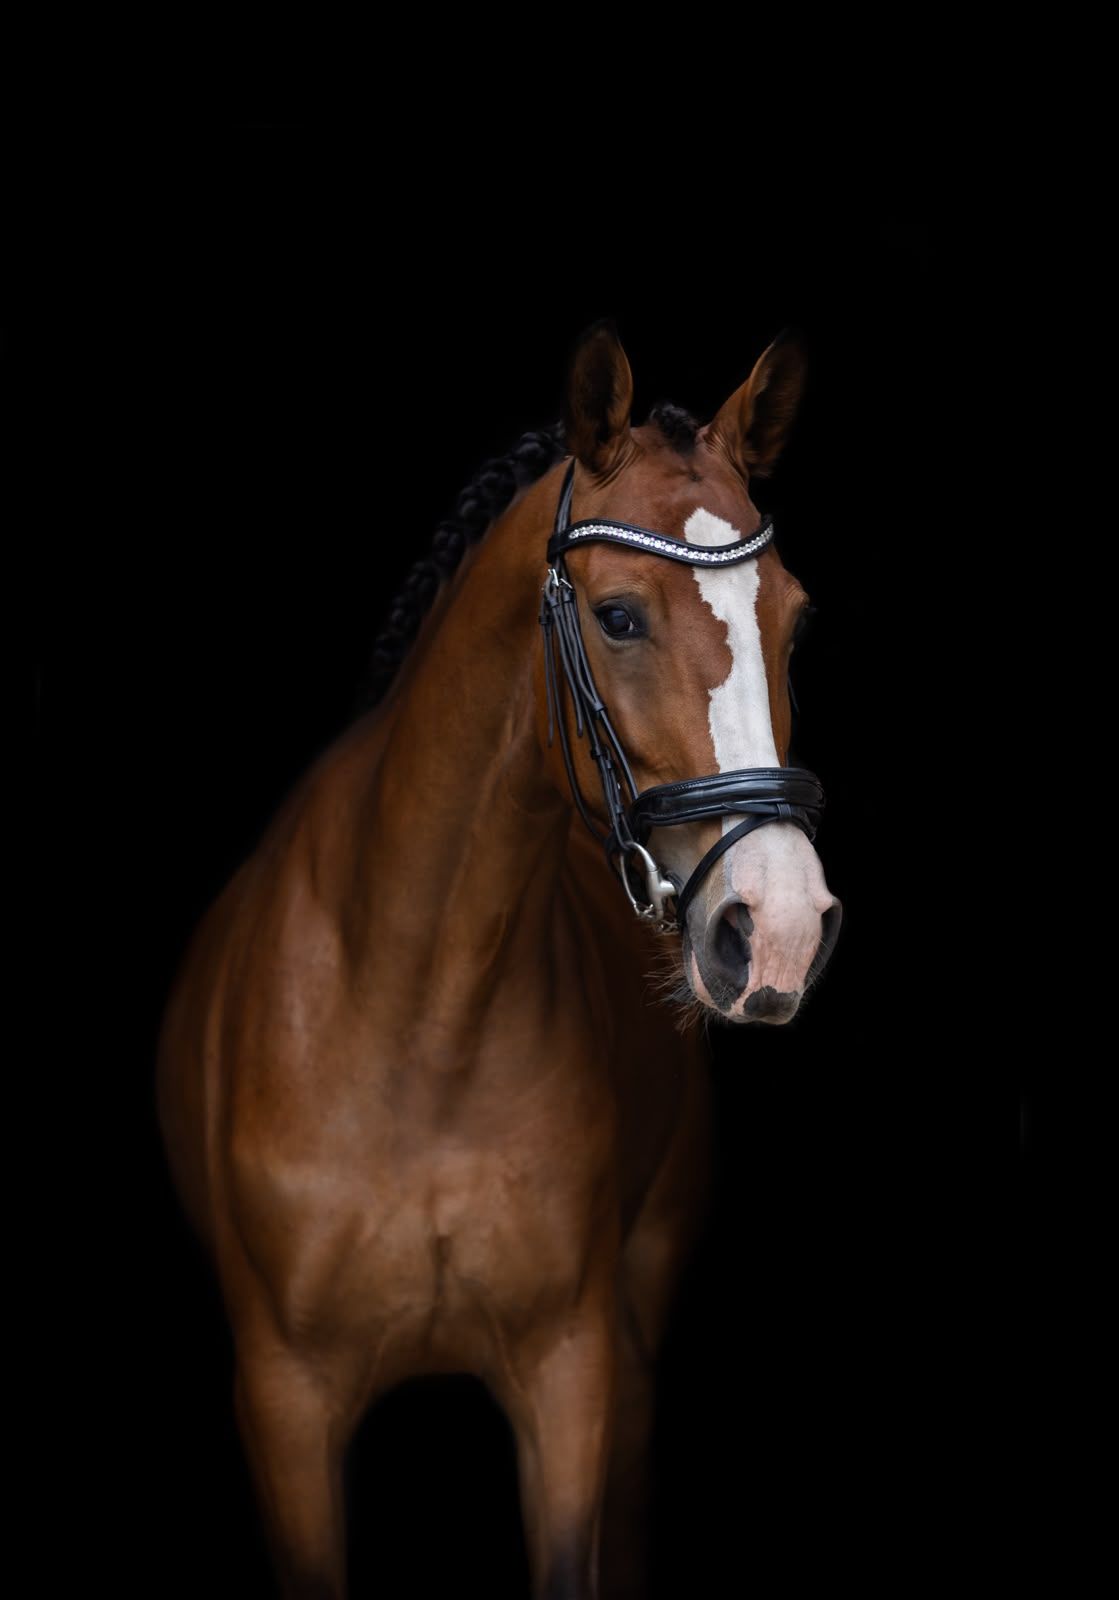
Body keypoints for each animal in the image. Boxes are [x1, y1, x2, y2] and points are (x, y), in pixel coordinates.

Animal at [156, 322, 841, 1599]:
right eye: (617, 616)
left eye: (795, 617)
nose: (776, 925)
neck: (419, 1020)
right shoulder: (285, 1402)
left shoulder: (570, 1376)